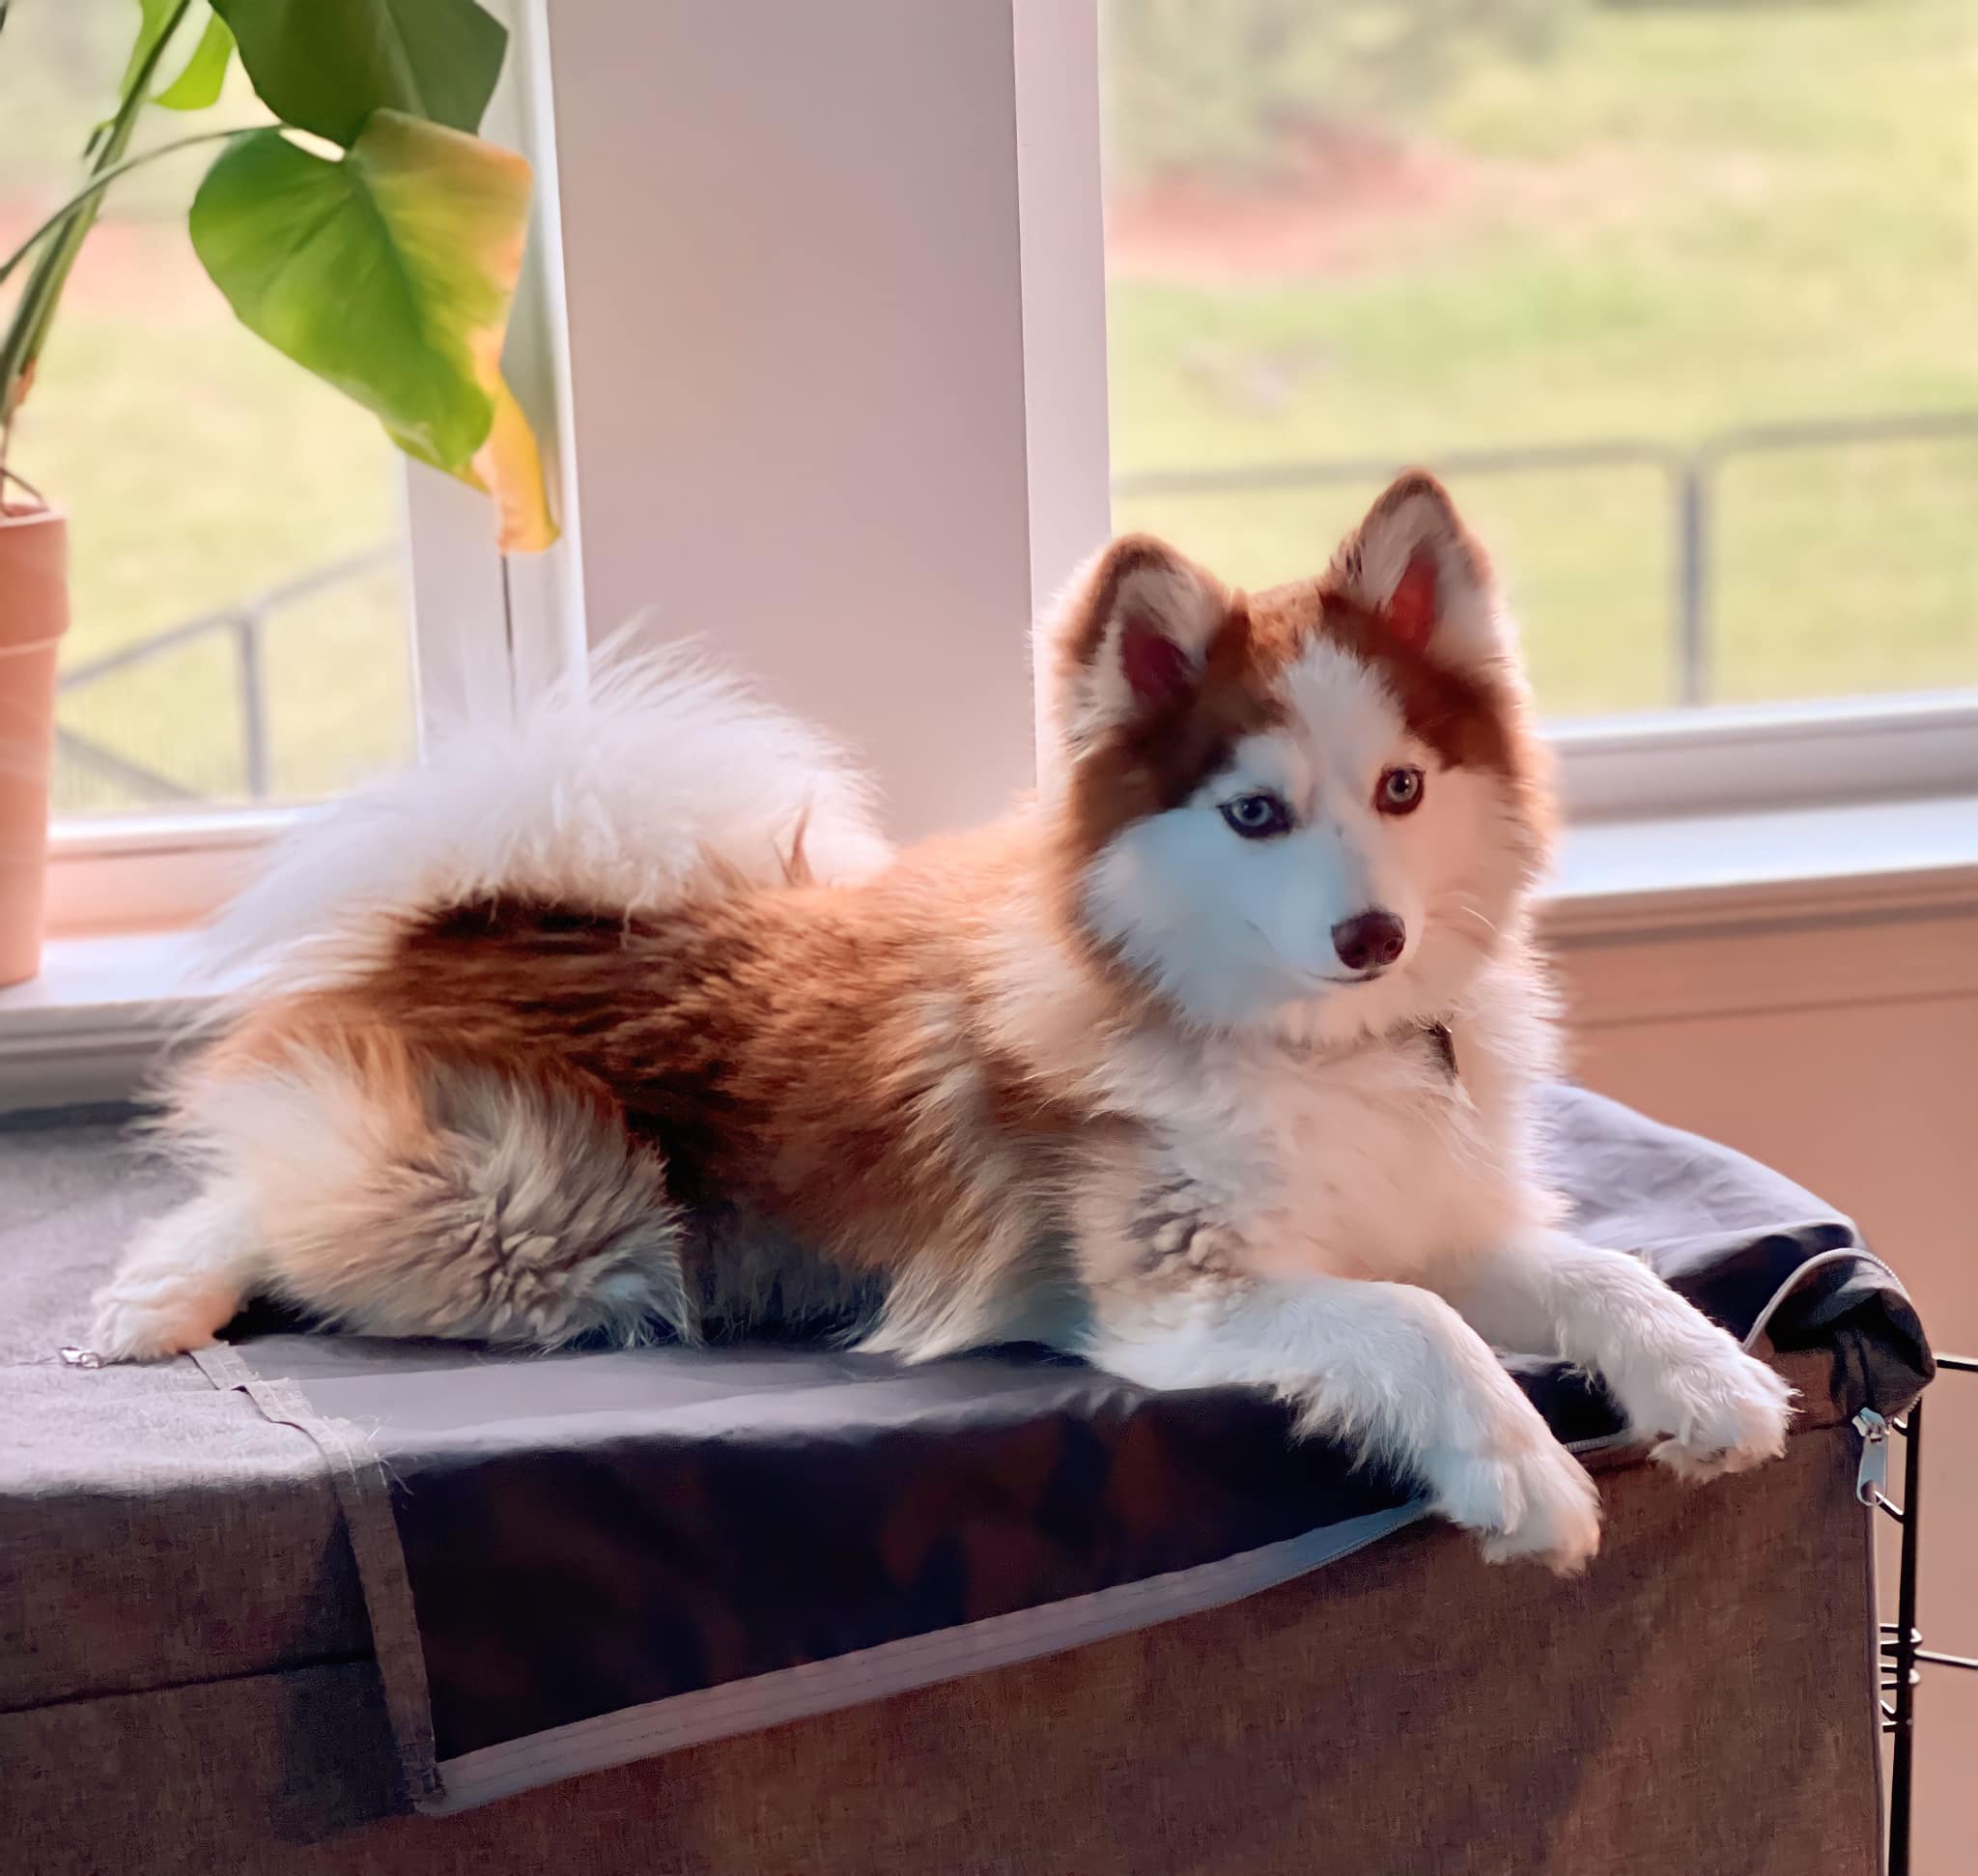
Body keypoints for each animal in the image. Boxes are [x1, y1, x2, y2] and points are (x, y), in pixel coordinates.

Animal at [93, 476, 1795, 1575]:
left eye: (1401, 787)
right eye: (1252, 813)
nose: (1370, 939)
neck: (1311, 1051)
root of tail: (487, 906)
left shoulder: (1429, 1212)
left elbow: (1590, 1268)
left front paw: (1705, 1376)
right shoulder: (1177, 1296)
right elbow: (1411, 1324)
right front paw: (1517, 1471)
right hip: (542, 1215)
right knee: (260, 1185)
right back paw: (148, 1298)